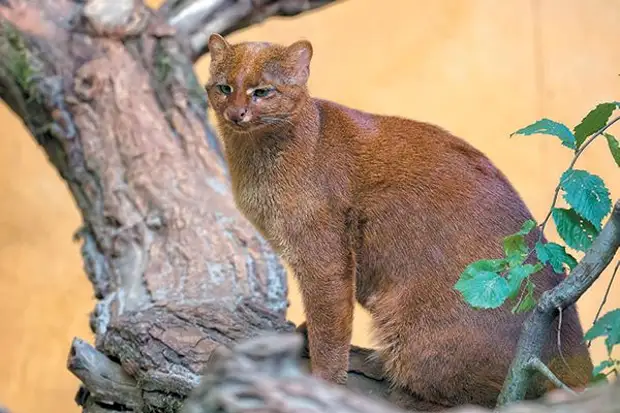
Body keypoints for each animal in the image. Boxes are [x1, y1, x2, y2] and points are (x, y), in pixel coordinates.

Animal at [203, 33, 592, 408]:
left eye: (262, 91)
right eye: (224, 87)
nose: (236, 113)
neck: (255, 161)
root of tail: (576, 361)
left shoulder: (323, 258)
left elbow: (330, 327)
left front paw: (322, 382)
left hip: (415, 332)